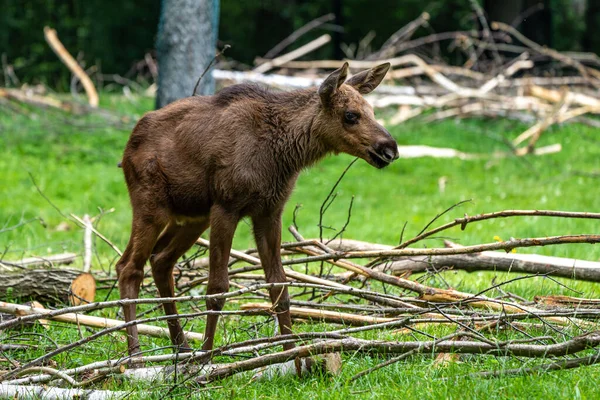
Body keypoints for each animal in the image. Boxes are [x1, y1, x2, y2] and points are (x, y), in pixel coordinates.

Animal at [116, 61, 398, 360]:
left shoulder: (269, 212)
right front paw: (207, 358)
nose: (390, 149)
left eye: (373, 111)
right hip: (150, 205)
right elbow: (217, 289)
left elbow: (279, 287)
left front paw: (290, 355)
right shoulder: (226, 207)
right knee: (129, 268)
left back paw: (180, 345)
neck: (285, 156)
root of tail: (127, 148)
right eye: (350, 115)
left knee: (160, 260)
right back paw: (135, 357)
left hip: (192, 217)